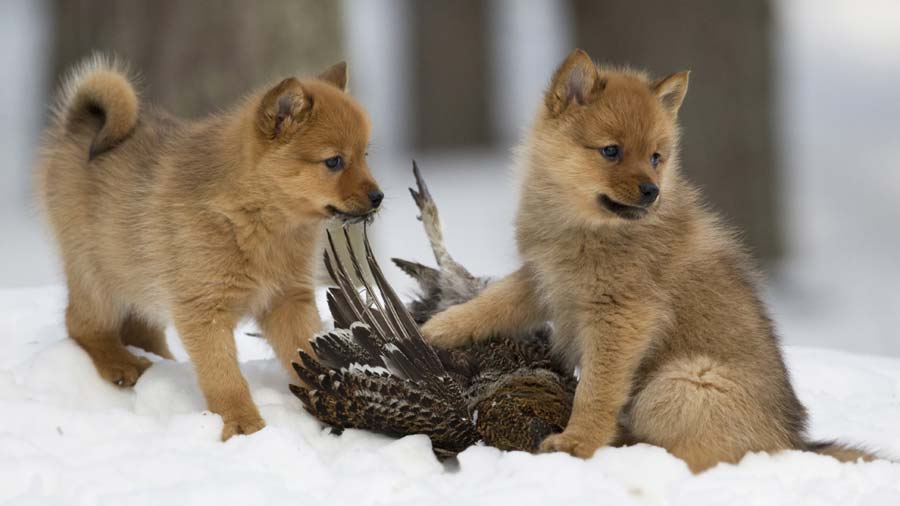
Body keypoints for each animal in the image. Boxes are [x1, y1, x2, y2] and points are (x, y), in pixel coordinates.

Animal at [37, 55, 384, 438]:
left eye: (365, 155)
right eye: (334, 161)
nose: (378, 197)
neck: (256, 217)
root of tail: (80, 122)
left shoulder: (288, 301)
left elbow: (308, 352)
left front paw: (330, 400)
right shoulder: (204, 310)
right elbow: (223, 376)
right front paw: (243, 424)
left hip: (138, 278)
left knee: (138, 328)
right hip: (99, 277)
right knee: (82, 325)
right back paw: (120, 363)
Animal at [426, 49, 876, 472]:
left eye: (656, 157)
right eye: (611, 151)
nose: (651, 191)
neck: (586, 229)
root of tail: (793, 443)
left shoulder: (622, 317)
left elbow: (596, 389)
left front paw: (576, 443)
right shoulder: (543, 280)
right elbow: (490, 304)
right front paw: (437, 329)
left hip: (683, 382)